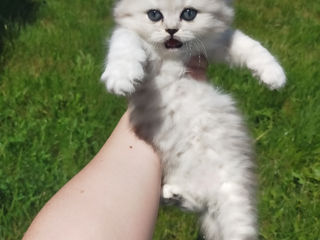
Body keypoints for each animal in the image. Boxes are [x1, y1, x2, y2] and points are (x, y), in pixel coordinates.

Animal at [100, 0, 284, 239]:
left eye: (189, 14)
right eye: (154, 15)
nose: (171, 30)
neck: (171, 57)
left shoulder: (214, 44)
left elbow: (248, 44)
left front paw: (274, 74)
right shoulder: (130, 37)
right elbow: (125, 40)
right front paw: (121, 76)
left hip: (230, 179)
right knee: (199, 204)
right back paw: (171, 195)